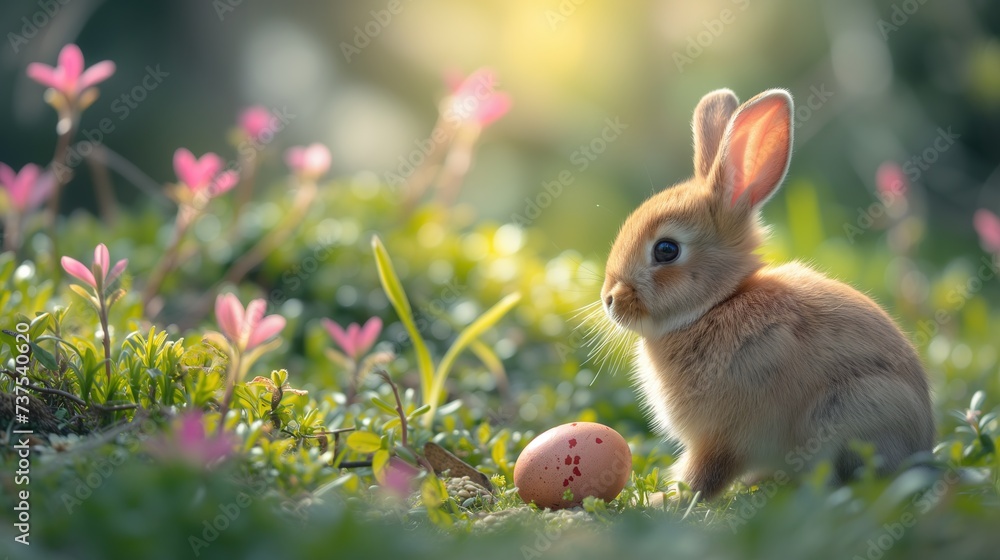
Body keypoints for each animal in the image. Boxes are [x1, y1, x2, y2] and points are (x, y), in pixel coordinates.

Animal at [600, 88, 935, 500]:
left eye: (666, 250)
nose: (609, 300)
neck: (717, 304)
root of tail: (923, 446)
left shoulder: (723, 437)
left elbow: (706, 475)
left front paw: (670, 498)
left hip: (853, 410)